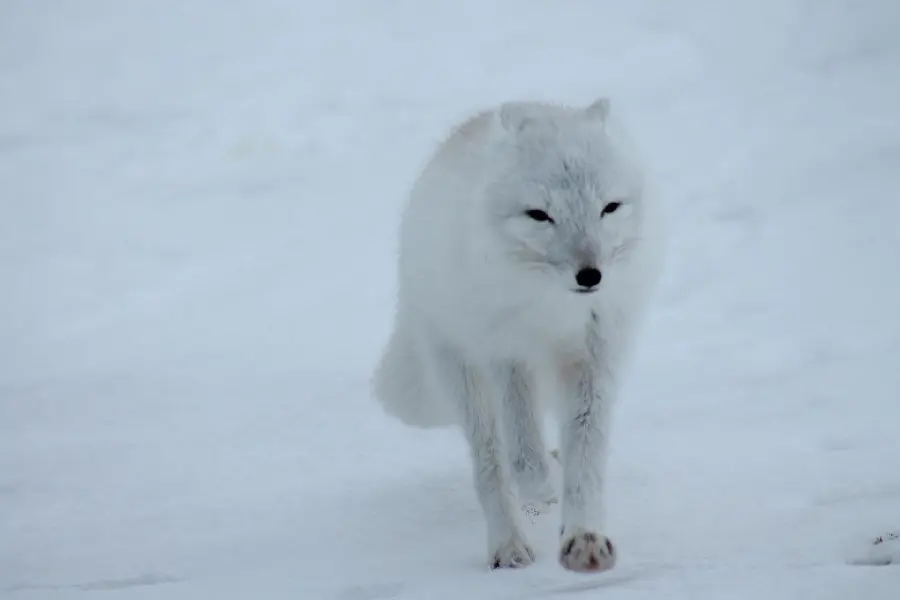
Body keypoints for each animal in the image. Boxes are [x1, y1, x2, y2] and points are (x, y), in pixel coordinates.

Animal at [370, 97, 664, 572]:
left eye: (609, 207)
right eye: (539, 215)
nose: (590, 275)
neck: (553, 308)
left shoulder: (593, 356)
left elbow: (587, 456)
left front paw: (584, 538)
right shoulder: (507, 356)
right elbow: (524, 459)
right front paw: (544, 489)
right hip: (464, 375)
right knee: (492, 463)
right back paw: (508, 546)